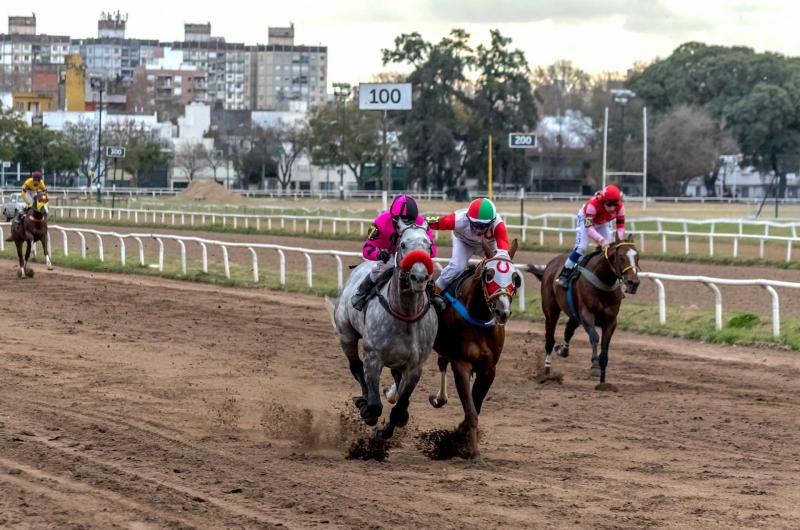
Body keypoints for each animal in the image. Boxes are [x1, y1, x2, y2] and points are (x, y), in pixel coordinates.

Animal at [324, 217, 438, 440]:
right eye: (403, 245)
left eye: (429, 245)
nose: (419, 276)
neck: (405, 315)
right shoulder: (373, 357)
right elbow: (375, 404)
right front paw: (366, 409)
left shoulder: (415, 367)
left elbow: (400, 407)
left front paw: (388, 430)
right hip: (346, 334)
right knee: (355, 366)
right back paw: (363, 398)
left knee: (396, 378)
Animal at [386, 237, 520, 460]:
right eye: (489, 275)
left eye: (515, 276)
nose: (503, 312)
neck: (479, 317)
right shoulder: (462, 364)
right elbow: (471, 411)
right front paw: (473, 453)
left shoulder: (489, 370)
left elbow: (474, 408)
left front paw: (456, 440)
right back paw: (393, 394)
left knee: (440, 363)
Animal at [528, 233, 640, 390]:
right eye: (621, 257)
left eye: (637, 256)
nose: (633, 283)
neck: (603, 281)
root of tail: (549, 266)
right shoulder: (587, 315)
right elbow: (594, 337)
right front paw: (594, 367)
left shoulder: (610, 321)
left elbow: (605, 348)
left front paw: (603, 382)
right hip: (551, 310)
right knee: (550, 339)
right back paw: (547, 373)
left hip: (574, 315)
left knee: (568, 331)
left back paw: (563, 350)